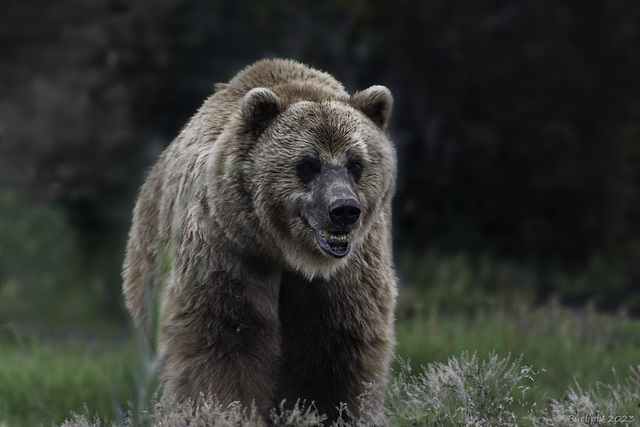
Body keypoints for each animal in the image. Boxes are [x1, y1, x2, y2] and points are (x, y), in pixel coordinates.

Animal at [122, 58, 398, 422]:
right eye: (307, 164)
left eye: (356, 163)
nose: (343, 210)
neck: (286, 251)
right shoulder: (226, 248)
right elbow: (224, 335)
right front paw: (224, 411)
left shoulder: (348, 269)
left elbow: (335, 345)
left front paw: (326, 412)